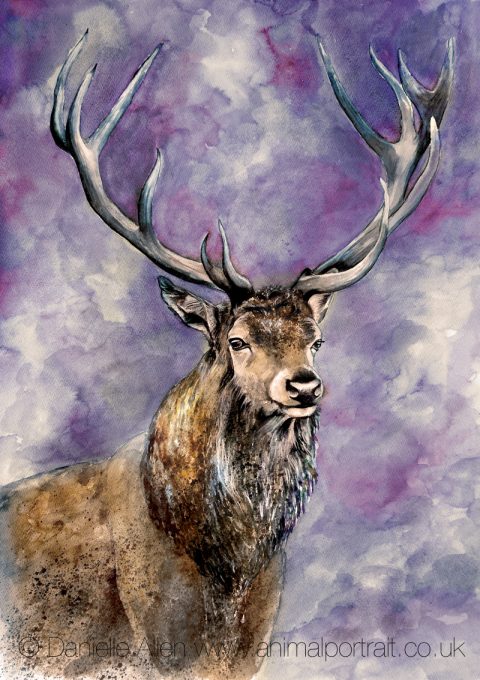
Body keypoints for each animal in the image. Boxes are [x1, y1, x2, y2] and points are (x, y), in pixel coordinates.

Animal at [0, 31, 453, 680]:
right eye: (237, 342)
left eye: (314, 340)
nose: (303, 385)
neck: (227, 575)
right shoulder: (155, 645)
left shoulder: (250, 649)